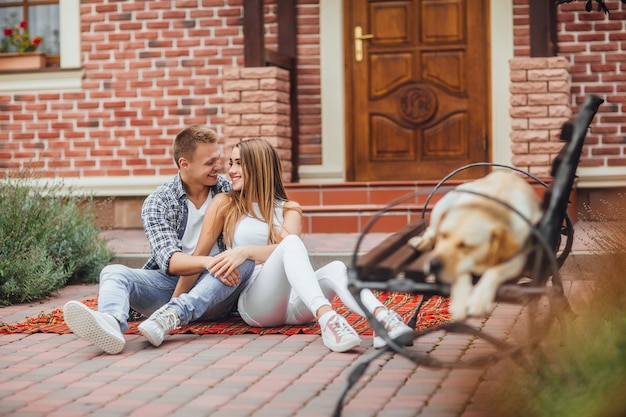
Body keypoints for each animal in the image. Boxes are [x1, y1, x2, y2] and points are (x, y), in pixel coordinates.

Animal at [408, 171, 544, 320]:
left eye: (465, 246)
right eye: (443, 235)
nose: (433, 264)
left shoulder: (516, 259)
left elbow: (494, 271)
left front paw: (479, 300)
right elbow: (461, 274)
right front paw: (460, 301)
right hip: (444, 204)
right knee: (431, 229)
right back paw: (421, 242)